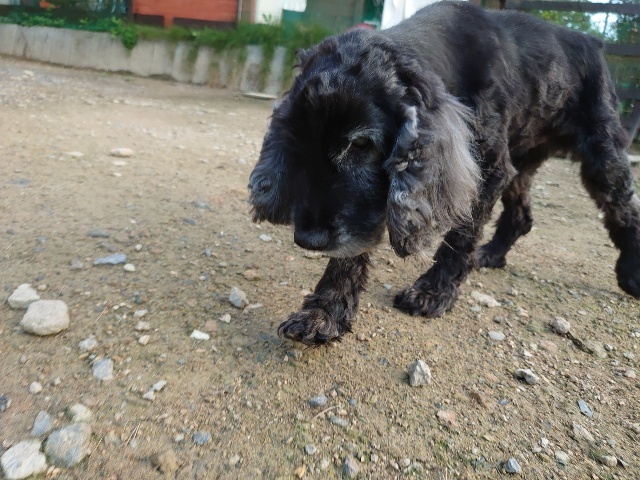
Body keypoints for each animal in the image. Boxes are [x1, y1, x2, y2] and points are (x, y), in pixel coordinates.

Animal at [248, 0, 640, 346]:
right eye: (296, 140)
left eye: (359, 143)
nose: (308, 239)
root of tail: (592, 41)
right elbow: (353, 248)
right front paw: (325, 311)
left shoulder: (485, 169)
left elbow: (460, 235)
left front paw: (432, 292)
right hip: (521, 160)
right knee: (522, 215)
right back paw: (492, 254)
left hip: (601, 155)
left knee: (622, 211)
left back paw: (631, 274)